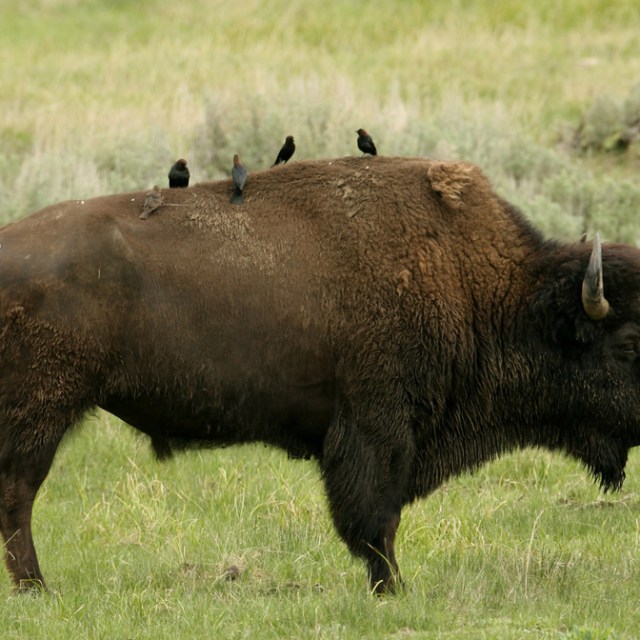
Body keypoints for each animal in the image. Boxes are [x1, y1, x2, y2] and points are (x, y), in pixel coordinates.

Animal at [1, 156, 640, 596]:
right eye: (629, 345)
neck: (485, 290)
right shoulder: (378, 429)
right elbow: (376, 521)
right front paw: (393, 590)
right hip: (43, 410)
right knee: (19, 494)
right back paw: (37, 588)